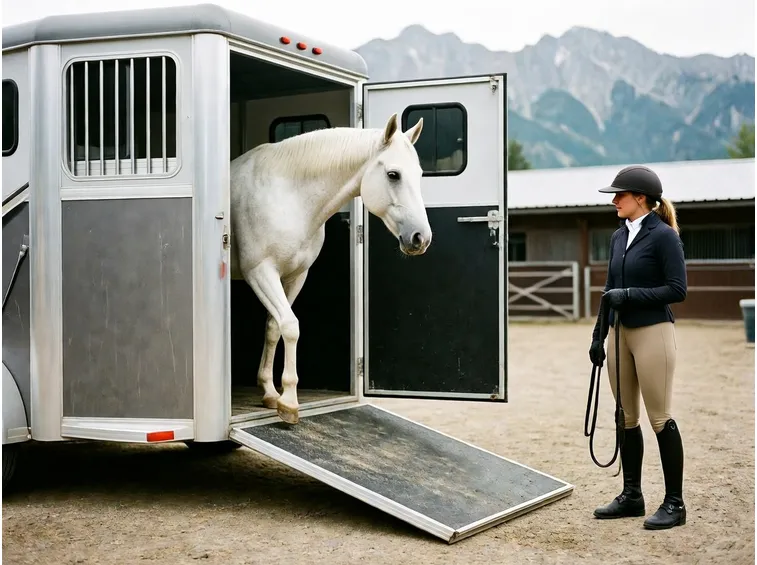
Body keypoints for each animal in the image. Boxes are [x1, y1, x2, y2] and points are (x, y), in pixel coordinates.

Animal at [229, 113, 431, 424]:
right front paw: (289, 402)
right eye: (393, 174)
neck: (288, 196)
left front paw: (270, 392)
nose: (421, 238)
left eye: (419, 174)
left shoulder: (295, 275)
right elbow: (291, 327)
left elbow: (274, 326)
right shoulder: (260, 273)